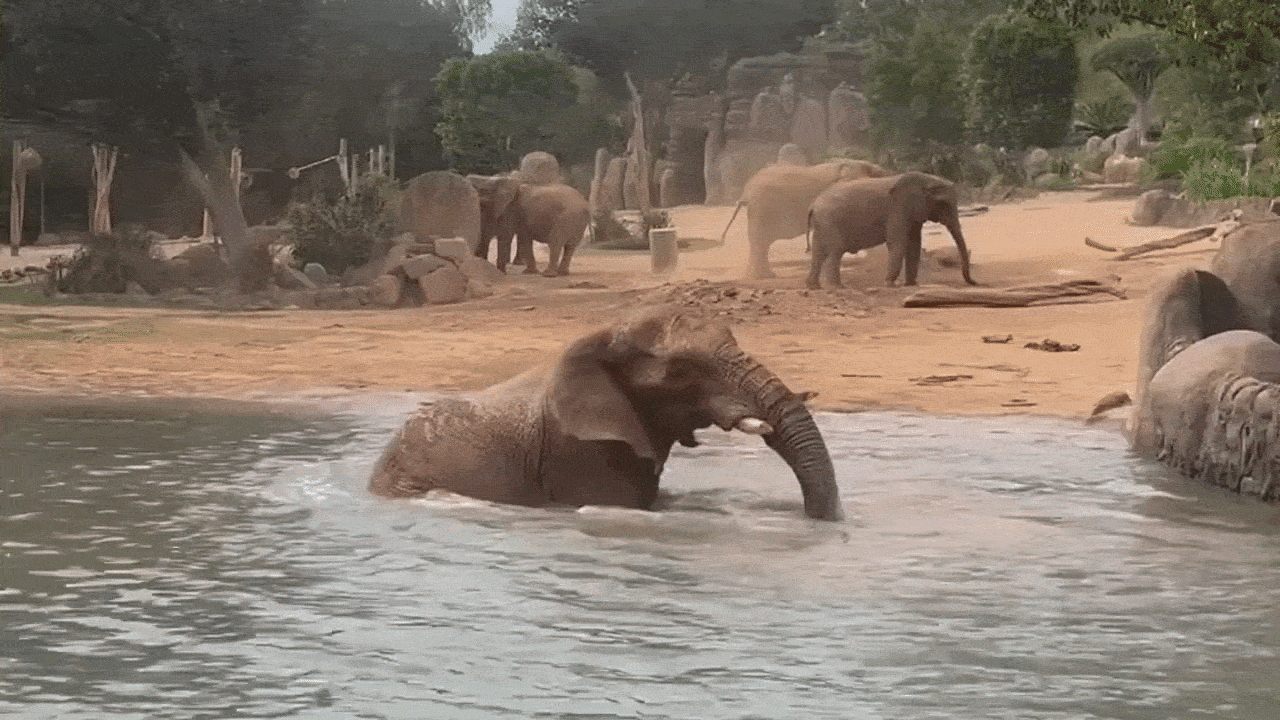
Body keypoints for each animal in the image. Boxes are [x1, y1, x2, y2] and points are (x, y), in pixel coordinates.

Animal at [718, 159, 889, 279]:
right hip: (762, 210)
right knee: (760, 242)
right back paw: (762, 276)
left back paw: (759, 276)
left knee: (760, 244)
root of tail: (746, 192)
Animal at [805, 172, 976, 289]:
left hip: (822, 225)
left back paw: (814, 287)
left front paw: (911, 285)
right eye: (944, 204)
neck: (926, 179)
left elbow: (914, 244)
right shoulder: (897, 209)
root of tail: (813, 206)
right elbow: (898, 243)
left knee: (818, 255)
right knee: (835, 252)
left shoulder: (912, 213)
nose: (974, 282)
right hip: (830, 222)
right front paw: (890, 285)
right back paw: (838, 287)